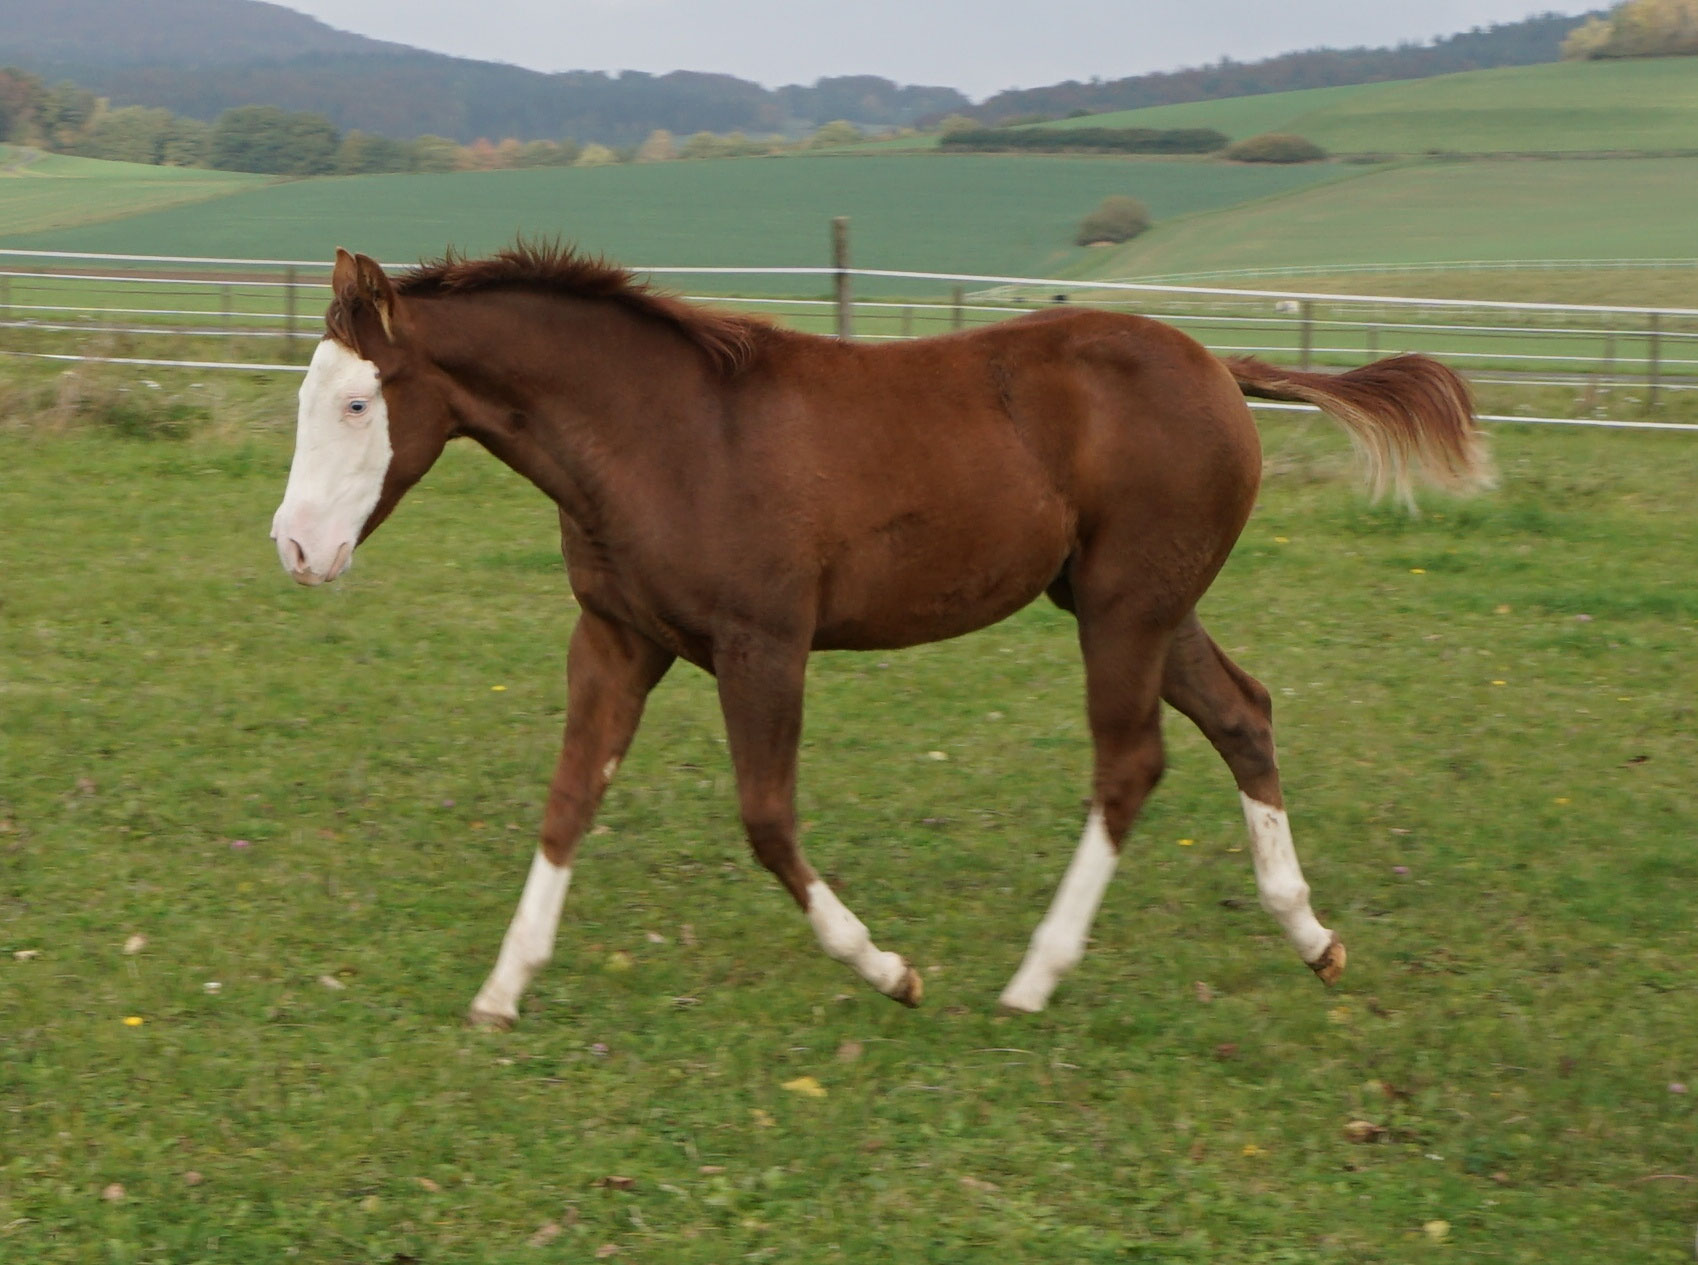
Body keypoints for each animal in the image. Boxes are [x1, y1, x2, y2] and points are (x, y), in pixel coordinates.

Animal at [271, 243, 1488, 1028]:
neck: (667, 434)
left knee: (1131, 762)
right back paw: (1310, 936)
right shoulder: (617, 638)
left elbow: (766, 819)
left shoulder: (763, 642)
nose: (295, 548)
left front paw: (889, 968)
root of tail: (1220, 369)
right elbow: (569, 801)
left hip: (1125, 608)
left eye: (357, 405)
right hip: (1142, 603)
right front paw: (502, 989)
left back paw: (1034, 978)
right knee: (1244, 714)